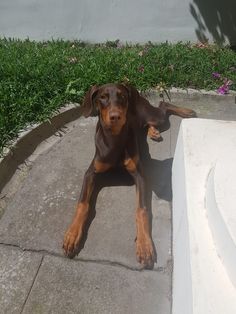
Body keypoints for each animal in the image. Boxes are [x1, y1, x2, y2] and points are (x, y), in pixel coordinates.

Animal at [62, 83, 195, 268]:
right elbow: (82, 204)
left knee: (163, 105)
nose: (115, 117)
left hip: (154, 116)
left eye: (122, 96)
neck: (115, 139)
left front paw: (144, 245)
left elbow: (142, 210)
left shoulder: (140, 175)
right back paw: (153, 132)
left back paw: (187, 112)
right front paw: (72, 235)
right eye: (102, 97)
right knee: (151, 119)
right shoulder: (90, 173)